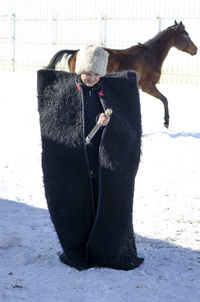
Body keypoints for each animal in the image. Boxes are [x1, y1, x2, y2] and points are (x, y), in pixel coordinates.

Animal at [46, 21, 197, 127]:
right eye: (186, 35)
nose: (195, 49)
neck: (151, 55)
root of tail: (74, 52)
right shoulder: (147, 86)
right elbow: (165, 99)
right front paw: (166, 122)